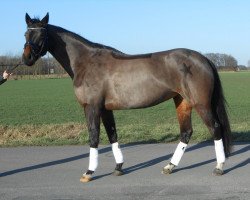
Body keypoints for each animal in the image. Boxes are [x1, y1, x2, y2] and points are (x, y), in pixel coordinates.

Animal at [22, 13, 231, 183]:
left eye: (41, 35)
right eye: (26, 34)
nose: (27, 59)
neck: (87, 62)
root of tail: (203, 59)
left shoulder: (92, 107)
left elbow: (94, 136)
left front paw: (89, 172)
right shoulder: (105, 109)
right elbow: (112, 135)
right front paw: (118, 167)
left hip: (201, 104)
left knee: (215, 128)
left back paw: (219, 166)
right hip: (182, 101)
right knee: (186, 132)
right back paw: (170, 166)